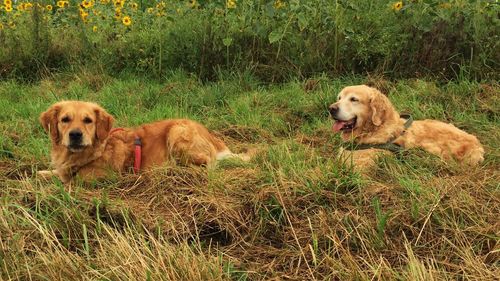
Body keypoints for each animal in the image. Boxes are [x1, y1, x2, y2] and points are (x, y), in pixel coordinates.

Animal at [39, 100, 250, 182]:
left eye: (88, 120)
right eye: (65, 119)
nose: (75, 135)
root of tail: (210, 135)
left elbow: (68, 182)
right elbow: (51, 174)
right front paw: (41, 172)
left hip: (177, 132)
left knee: (206, 166)